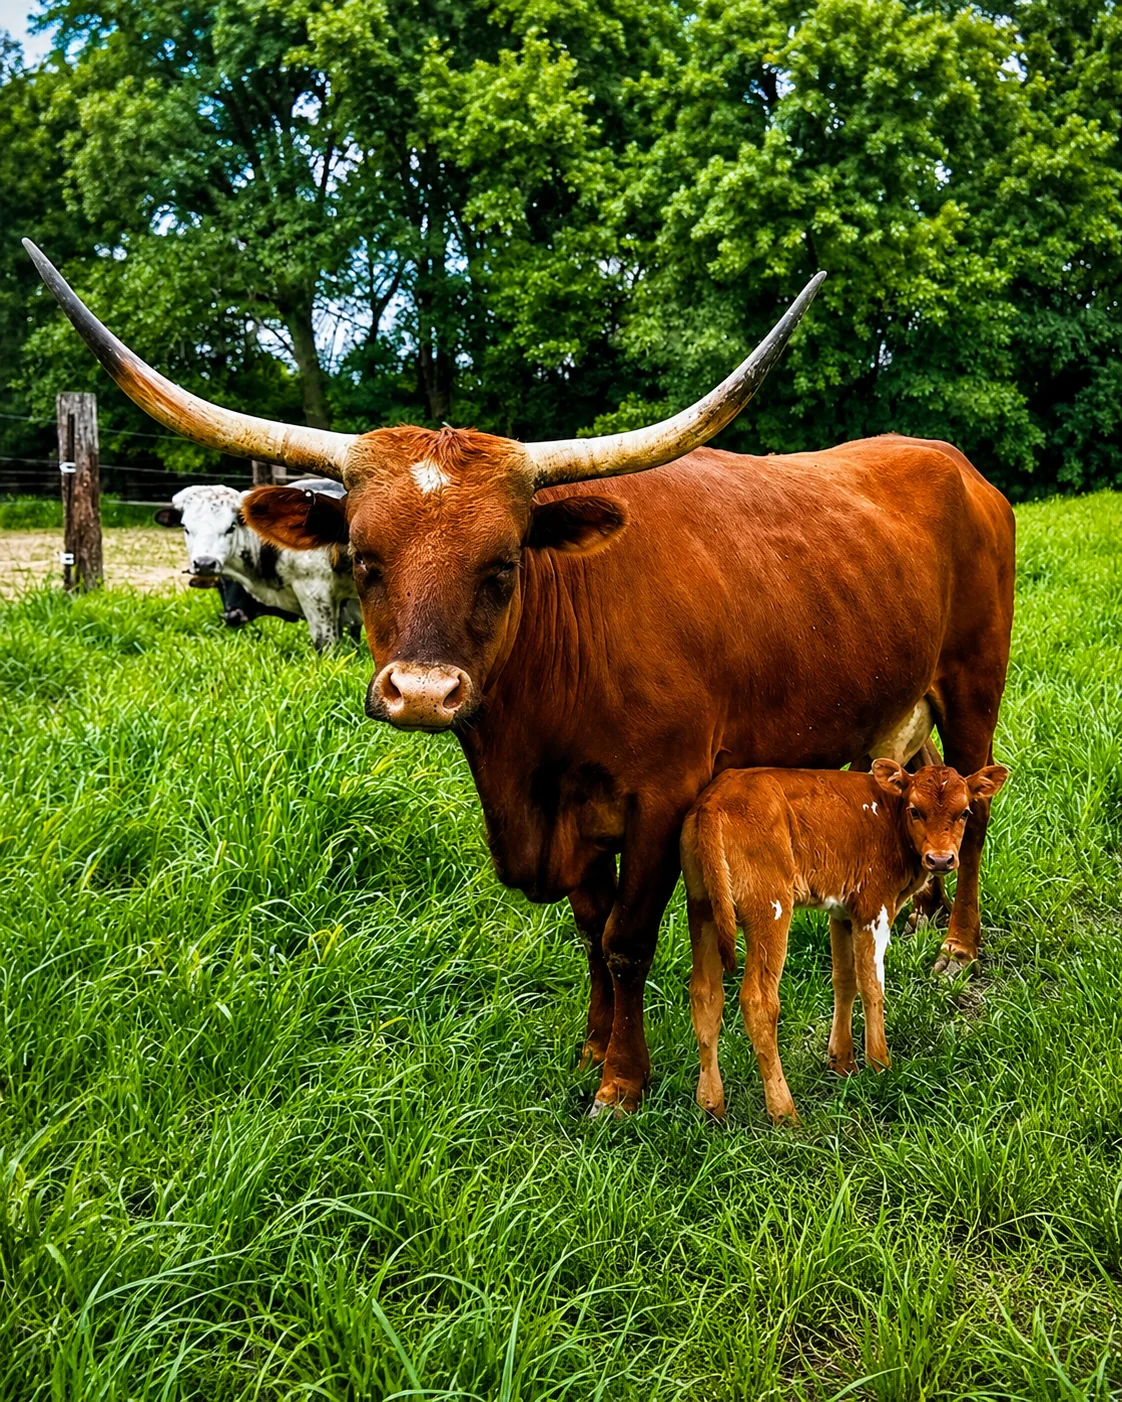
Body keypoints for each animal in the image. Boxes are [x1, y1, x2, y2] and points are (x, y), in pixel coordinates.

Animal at [680, 760, 1010, 1123]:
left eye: (964, 812)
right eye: (915, 810)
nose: (940, 859)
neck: (889, 817)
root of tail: (713, 802)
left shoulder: (841, 910)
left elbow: (844, 978)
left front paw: (842, 1061)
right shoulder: (873, 906)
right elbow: (872, 985)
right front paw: (880, 1064)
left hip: (702, 907)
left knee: (705, 994)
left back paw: (710, 1104)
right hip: (770, 906)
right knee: (758, 1000)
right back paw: (784, 1111)